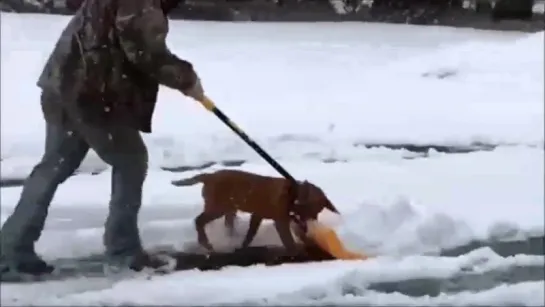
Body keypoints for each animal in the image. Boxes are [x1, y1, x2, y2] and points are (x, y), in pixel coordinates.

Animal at [172, 170, 338, 254]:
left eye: (316, 213)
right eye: (307, 210)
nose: (307, 225)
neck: (292, 195)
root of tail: (208, 176)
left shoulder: (257, 216)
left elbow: (250, 235)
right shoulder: (281, 222)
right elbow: (289, 241)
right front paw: (296, 252)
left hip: (229, 208)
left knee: (227, 224)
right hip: (218, 207)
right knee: (198, 221)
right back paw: (205, 243)